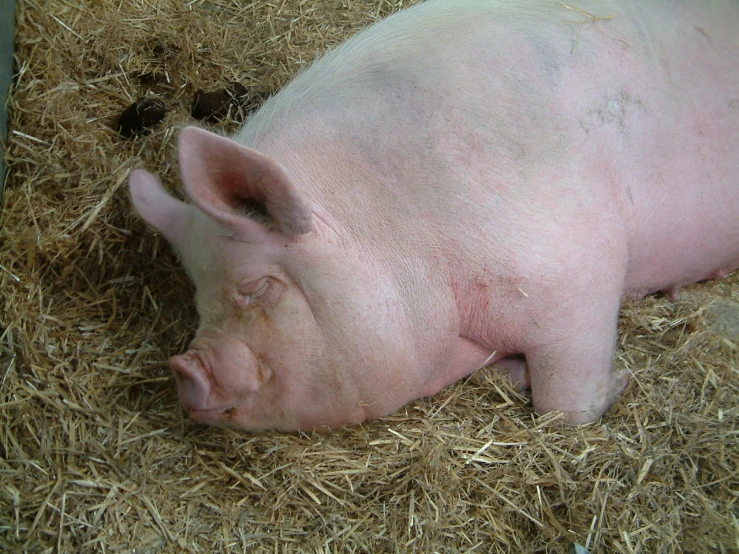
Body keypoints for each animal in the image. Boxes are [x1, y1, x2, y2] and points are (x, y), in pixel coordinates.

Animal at [130, 0, 739, 432]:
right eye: (197, 297)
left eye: (256, 287)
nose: (184, 370)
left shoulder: (580, 269)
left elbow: (564, 407)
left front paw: (621, 382)